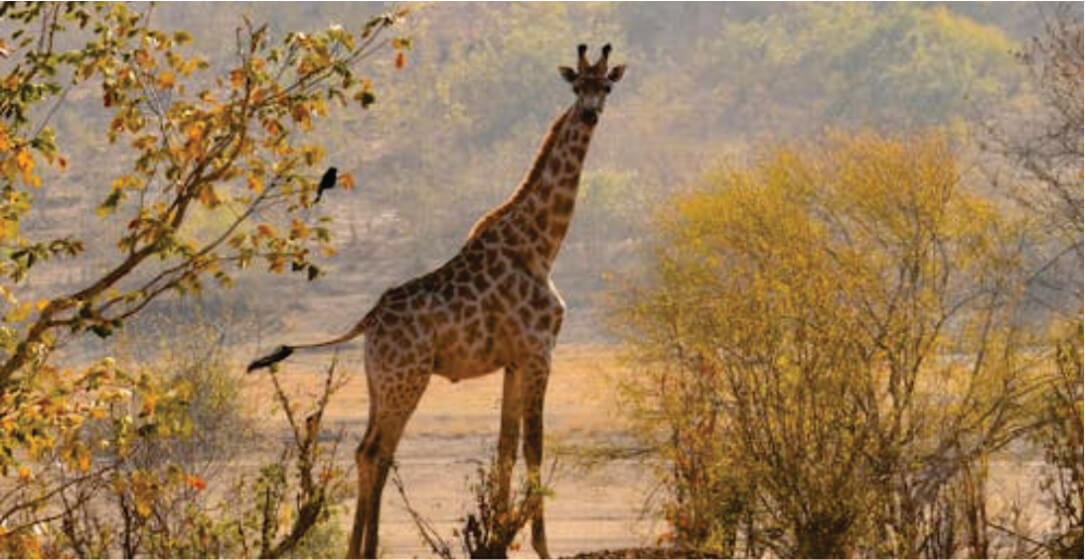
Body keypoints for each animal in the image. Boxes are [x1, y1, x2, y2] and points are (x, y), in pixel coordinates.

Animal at [248, 43, 626, 559]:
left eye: (605, 86)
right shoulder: (538, 350)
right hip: (408, 379)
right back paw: (367, 549)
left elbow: (505, 449)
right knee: (376, 451)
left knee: (367, 450)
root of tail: (368, 319)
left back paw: (355, 550)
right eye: (577, 87)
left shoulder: (513, 360)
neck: (542, 246)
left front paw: (498, 539)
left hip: (380, 381)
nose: (590, 114)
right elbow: (535, 445)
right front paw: (541, 546)